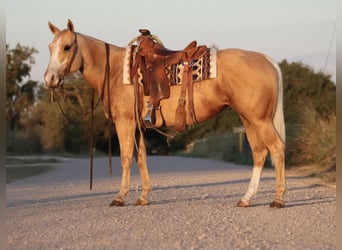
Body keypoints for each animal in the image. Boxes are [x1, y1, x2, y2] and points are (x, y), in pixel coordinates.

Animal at [44, 19, 288, 207]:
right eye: (50, 47)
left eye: (67, 47)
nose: (50, 79)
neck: (114, 71)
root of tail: (266, 60)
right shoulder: (138, 126)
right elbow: (141, 157)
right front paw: (143, 197)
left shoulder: (125, 122)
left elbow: (126, 158)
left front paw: (120, 197)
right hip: (249, 120)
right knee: (259, 152)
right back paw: (246, 198)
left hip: (260, 120)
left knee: (276, 148)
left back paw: (278, 199)